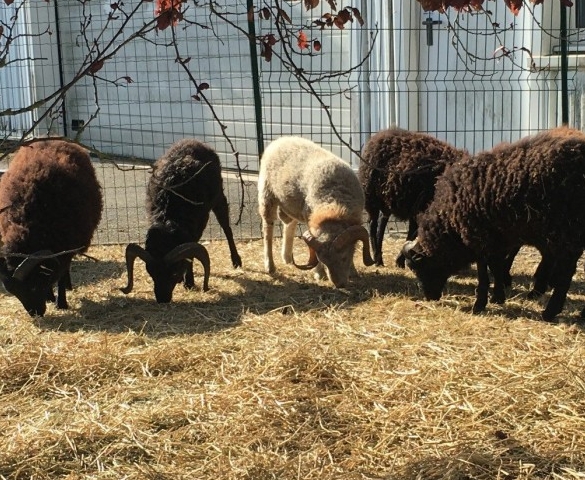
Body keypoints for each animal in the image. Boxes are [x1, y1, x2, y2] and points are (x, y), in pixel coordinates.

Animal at [0, 139, 102, 316]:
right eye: (13, 291)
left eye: (33, 286)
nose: (35, 313)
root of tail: (53, 138)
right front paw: (49, 296)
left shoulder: (65, 247)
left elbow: (60, 274)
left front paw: (61, 303)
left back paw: (68, 285)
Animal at [121, 137, 242, 302]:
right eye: (150, 272)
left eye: (174, 272)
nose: (162, 299)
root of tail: (193, 141)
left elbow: (190, 255)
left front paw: (189, 282)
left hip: (219, 197)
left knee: (227, 228)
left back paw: (236, 261)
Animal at [256, 135, 374, 286]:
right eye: (322, 260)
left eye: (344, 258)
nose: (339, 284)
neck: (334, 201)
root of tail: (281, 139)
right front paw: (319, 273)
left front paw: (353, 271)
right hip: (267, 195)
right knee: (267, 231)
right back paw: (270, 266)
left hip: (291, 206)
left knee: (290, 225)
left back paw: (287, 258)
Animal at [356, 127, 466, 268]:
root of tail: (378, 136)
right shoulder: (421, 207)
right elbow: (413, 233)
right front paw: (400, 260)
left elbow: (413, 233)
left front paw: (401, 260)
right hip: (371, 196)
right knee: (372, 224)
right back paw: (377, 258)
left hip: (387, 200)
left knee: (382, 222)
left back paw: (380, 257)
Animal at [402, 126, 585, 322]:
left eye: (419, 268)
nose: (430, 297)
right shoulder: (497, 238)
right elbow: (496, 266)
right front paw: (498, 296)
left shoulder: (479, 237)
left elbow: (484, 271)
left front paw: (480, 303)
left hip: (565, 233)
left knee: (566, 272)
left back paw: (550, 311)